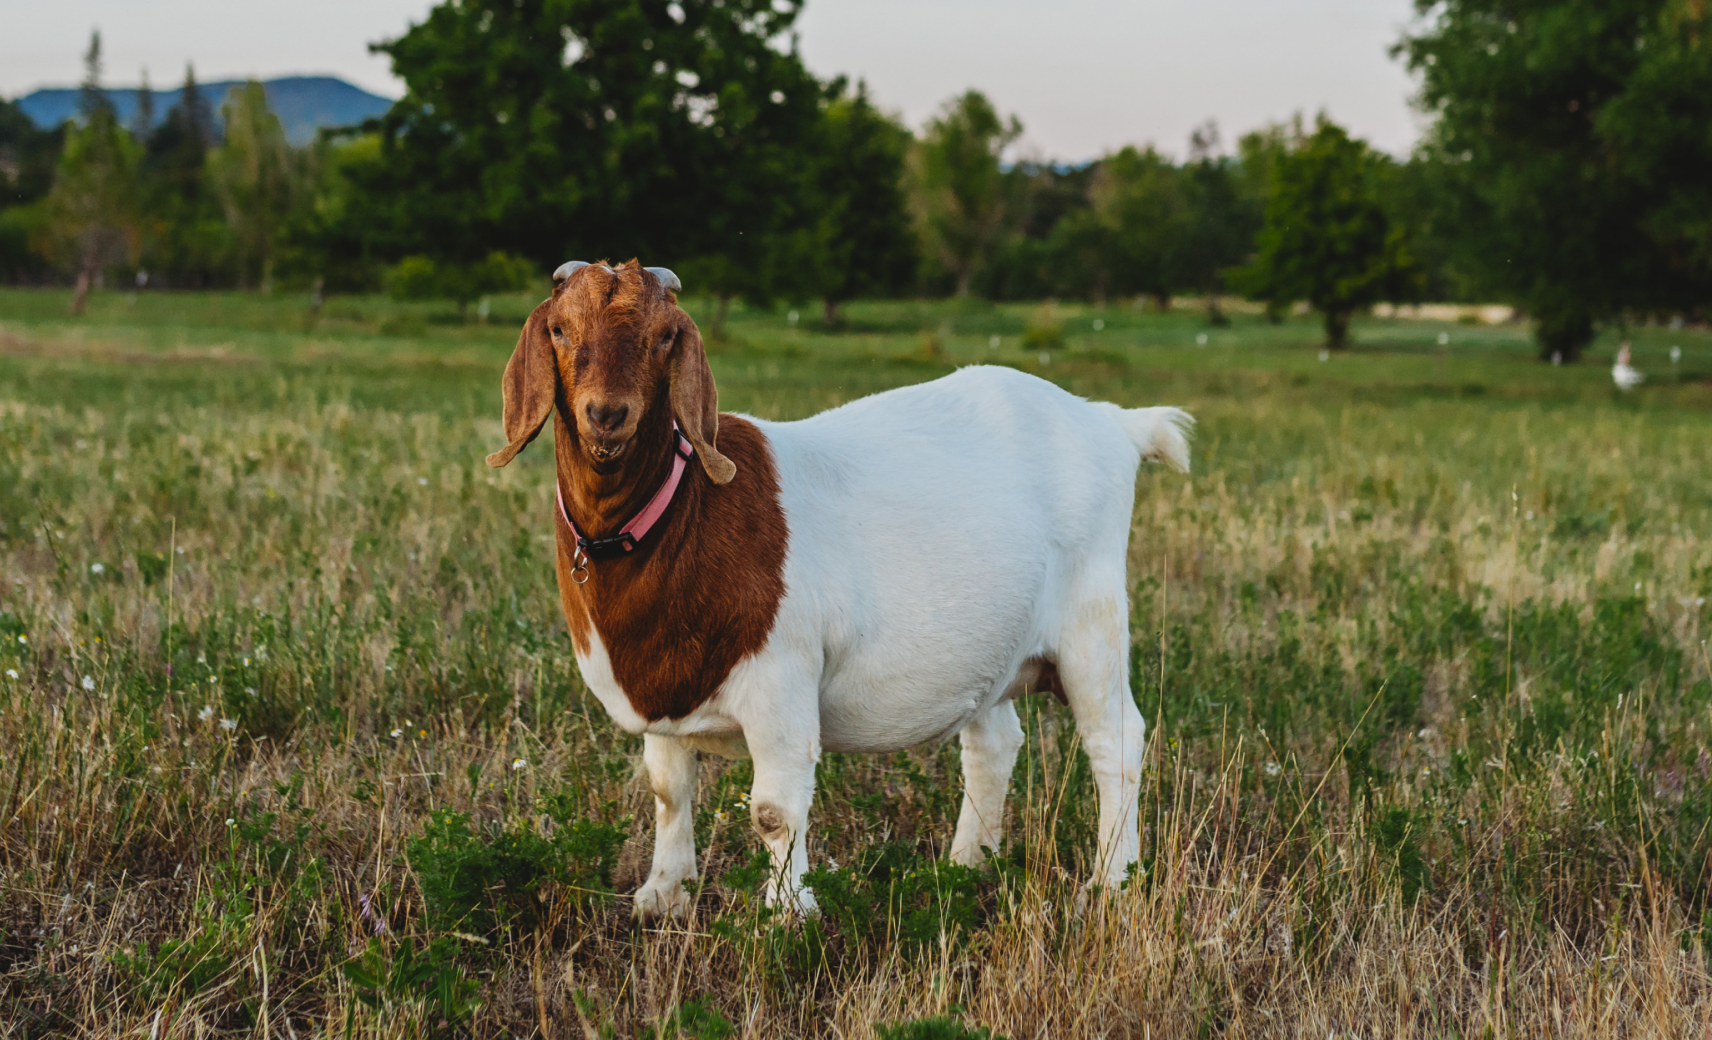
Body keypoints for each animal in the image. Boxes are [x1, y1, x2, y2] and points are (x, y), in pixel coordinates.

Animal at [487, 260, 1192, 917]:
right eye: (558, 328)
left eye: (664, 337)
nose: (607, 415)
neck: (682, 513)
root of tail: (1112, 423)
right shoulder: (662, 690)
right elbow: (668, 788)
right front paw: (662, 896)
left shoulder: (781, 681)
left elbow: (773, 809)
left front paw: (785, 918)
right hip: (992, 642)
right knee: (994, 744)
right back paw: (965, 867)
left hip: (1092, 618)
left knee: (1115, 741)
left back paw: (1110, 883)